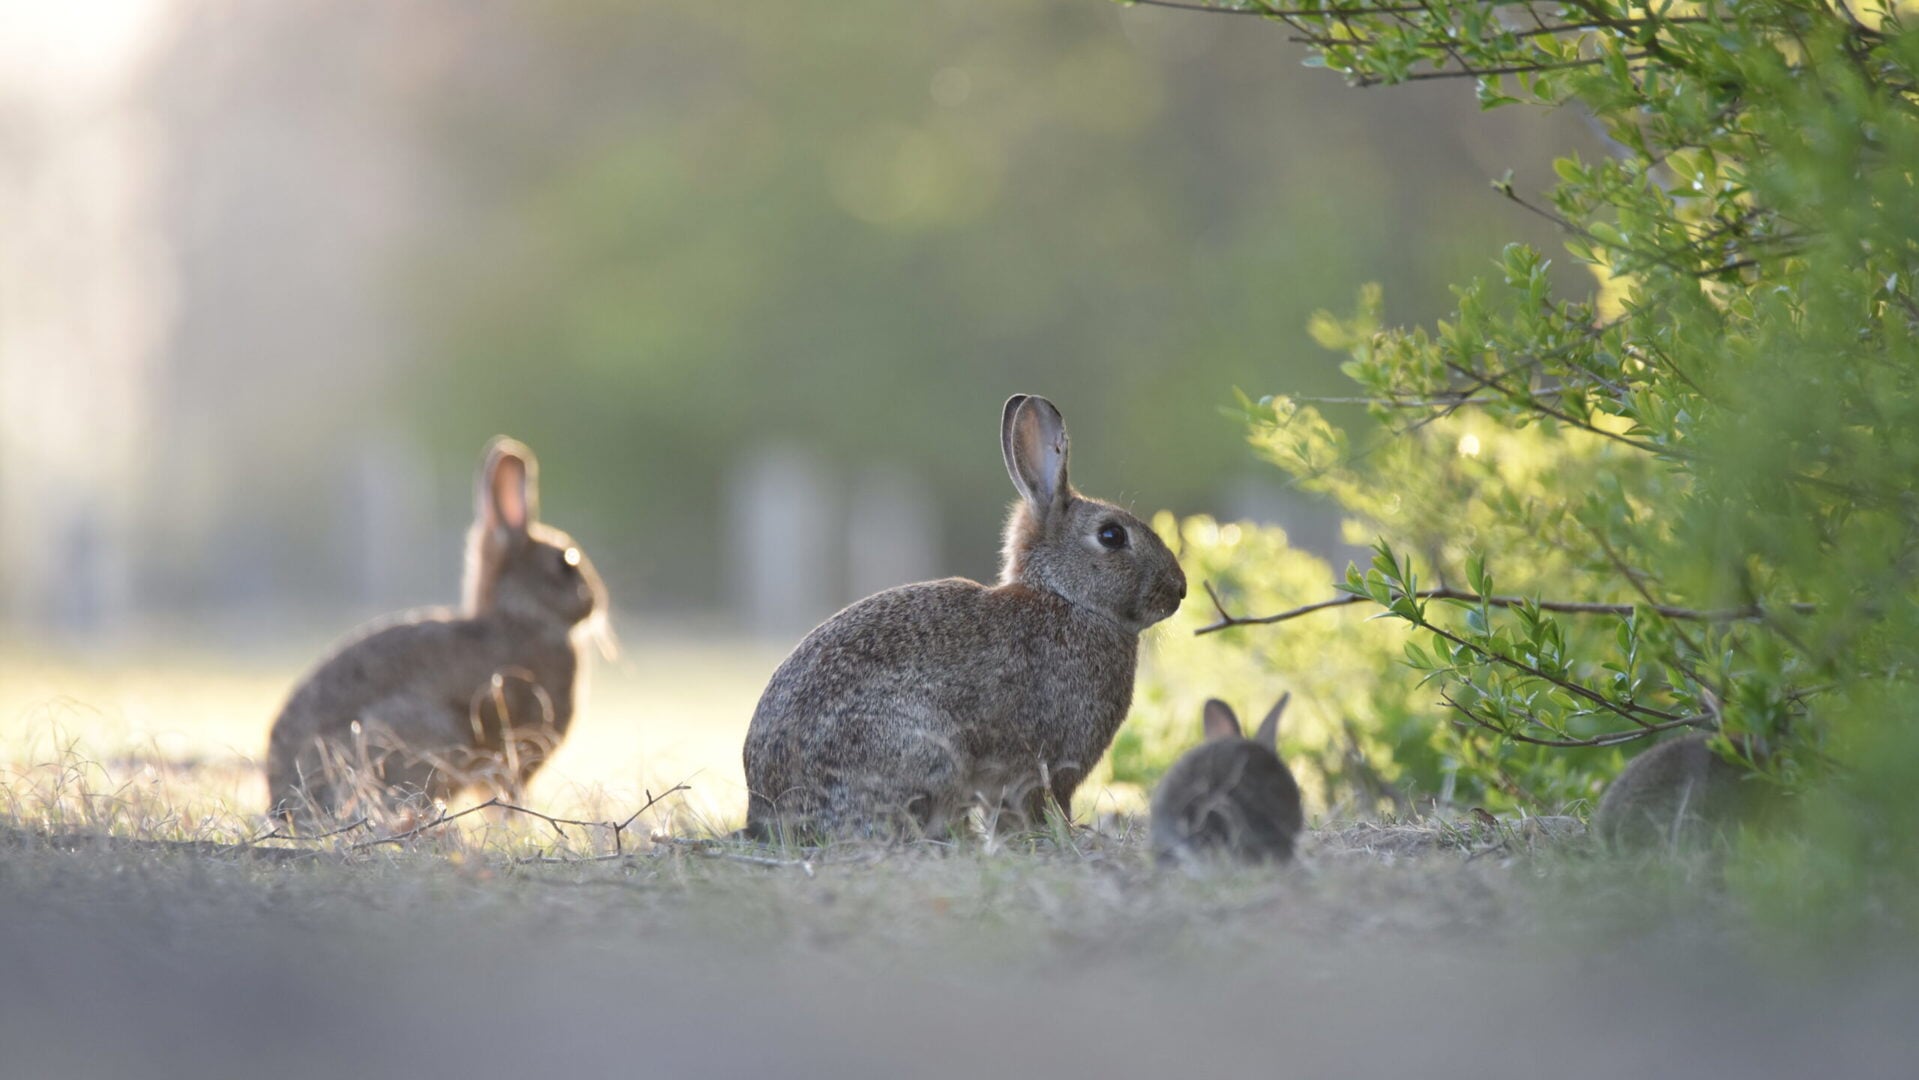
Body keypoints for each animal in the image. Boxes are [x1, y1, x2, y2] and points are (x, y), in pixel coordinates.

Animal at [736, 393, 1174, 840]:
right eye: (1111, 535)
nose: (1178, 590)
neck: (1066, 598)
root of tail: (768, 813)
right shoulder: (1050, 761)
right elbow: (1042, 803)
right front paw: (1064, 834)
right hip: (927, 752)